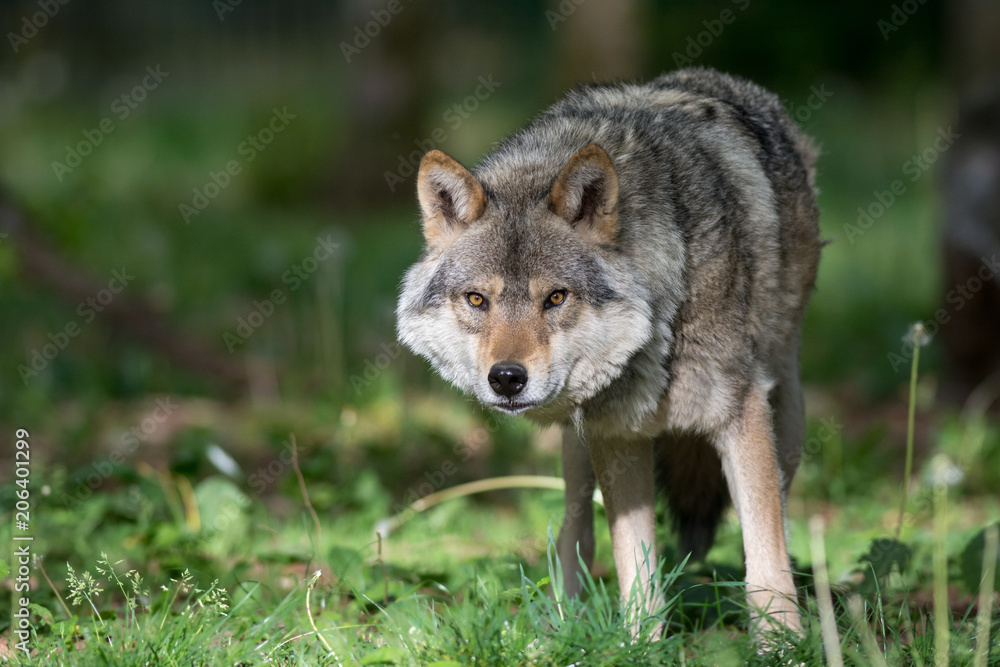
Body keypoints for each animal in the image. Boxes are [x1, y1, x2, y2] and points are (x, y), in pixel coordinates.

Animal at [396, 69, 820, 636]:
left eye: (556, 297)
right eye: (477, 299)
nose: (506, 378)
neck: (661, 322)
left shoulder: (741, 419)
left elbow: (766, 566)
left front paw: (781, 646)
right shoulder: (616, 437)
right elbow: (635, 571)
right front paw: (641, 644)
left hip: (786, 420)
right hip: (578, 449)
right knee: (574, 532)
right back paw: (559, 629)